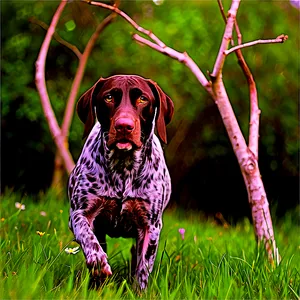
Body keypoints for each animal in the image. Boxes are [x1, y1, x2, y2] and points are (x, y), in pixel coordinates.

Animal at [68, 74, 173, 290]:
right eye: (109, 97)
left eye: (142, 99)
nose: (124, 126)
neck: (123, 169)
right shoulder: (79, 213)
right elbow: (88, 237)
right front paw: (98, 262)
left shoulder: (150, 227)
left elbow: (142, 269)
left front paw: (138, 291)